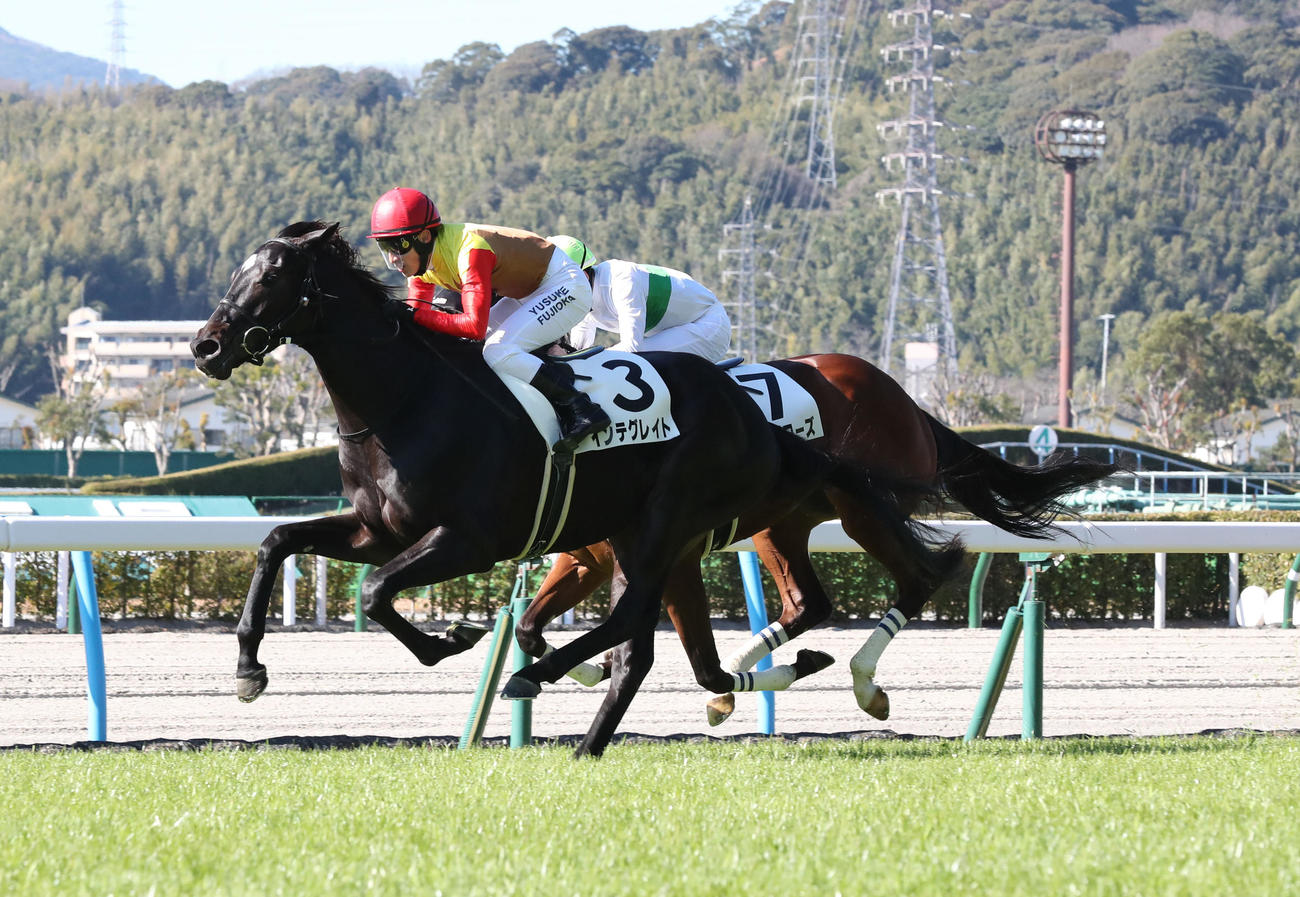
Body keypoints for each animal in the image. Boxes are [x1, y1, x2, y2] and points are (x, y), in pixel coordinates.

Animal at [189, 221, 957, 757]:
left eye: (273, 274)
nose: (205, 345)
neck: (407, 401)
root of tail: (749, 413)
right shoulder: (380, 529)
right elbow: (278, 540)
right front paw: (248, 668)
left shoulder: (471, 538)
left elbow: (378, 591)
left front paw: (453, 639)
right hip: (685, 529)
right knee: (680, 635)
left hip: (683, 521)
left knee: (647, 622)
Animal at [512, 353, 1120, 735]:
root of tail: (908, 401)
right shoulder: (586, 560)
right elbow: (529, 627)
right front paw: (579, 670)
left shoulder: (667, 558)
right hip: (782, 524)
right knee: (809, 603)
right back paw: (751, 678)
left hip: (862, 508)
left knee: (919, 576)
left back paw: (863, 683)